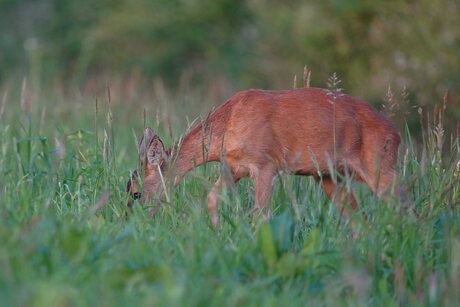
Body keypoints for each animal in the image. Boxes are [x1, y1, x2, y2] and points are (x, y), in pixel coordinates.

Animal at [126, 88, 406, 227]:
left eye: (135, 193)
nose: (131, 222)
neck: (228, 123)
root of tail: (396, 132)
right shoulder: (233, 167)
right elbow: (212, 199)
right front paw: (218, 232)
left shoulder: (266, 165)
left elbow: (262, 215)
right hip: (329, 177)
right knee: (361, 222)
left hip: (380, 165)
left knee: (406, 210)